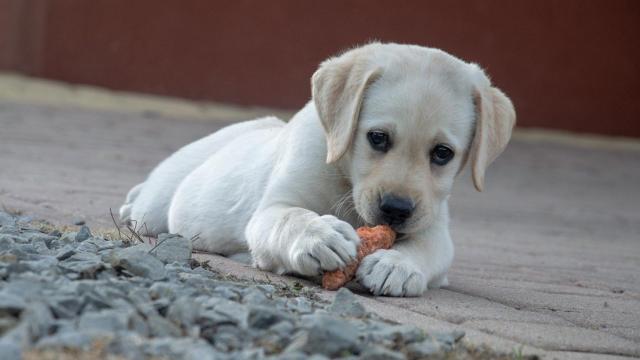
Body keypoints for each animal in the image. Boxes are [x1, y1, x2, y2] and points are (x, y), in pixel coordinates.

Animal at [120, 43, 516, 296]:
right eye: (377, 138)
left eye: (442, 154)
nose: (396, 209)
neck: (345, 179)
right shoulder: (271, 210)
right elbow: (290, 217)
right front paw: (319, 235)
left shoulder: (434, 225)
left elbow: (427, 248)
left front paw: (397, 265)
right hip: (157, 206)